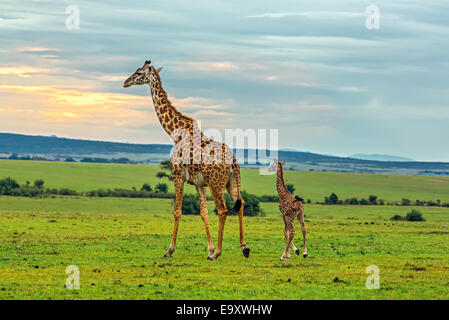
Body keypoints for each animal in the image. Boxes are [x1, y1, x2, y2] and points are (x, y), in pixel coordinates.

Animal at [122, 60, 248, 260]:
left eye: (139, 72)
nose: (125, 82)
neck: (175, 133)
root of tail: (233, 162)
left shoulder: (177, 174)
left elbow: (177, 212)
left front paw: (170, 250)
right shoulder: (198, 183)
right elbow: (203, 213)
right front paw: (209, 248)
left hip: (216, 183)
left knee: (223, 209)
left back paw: (218, 253)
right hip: (232, 181)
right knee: (240, 204)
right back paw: (244, 247)